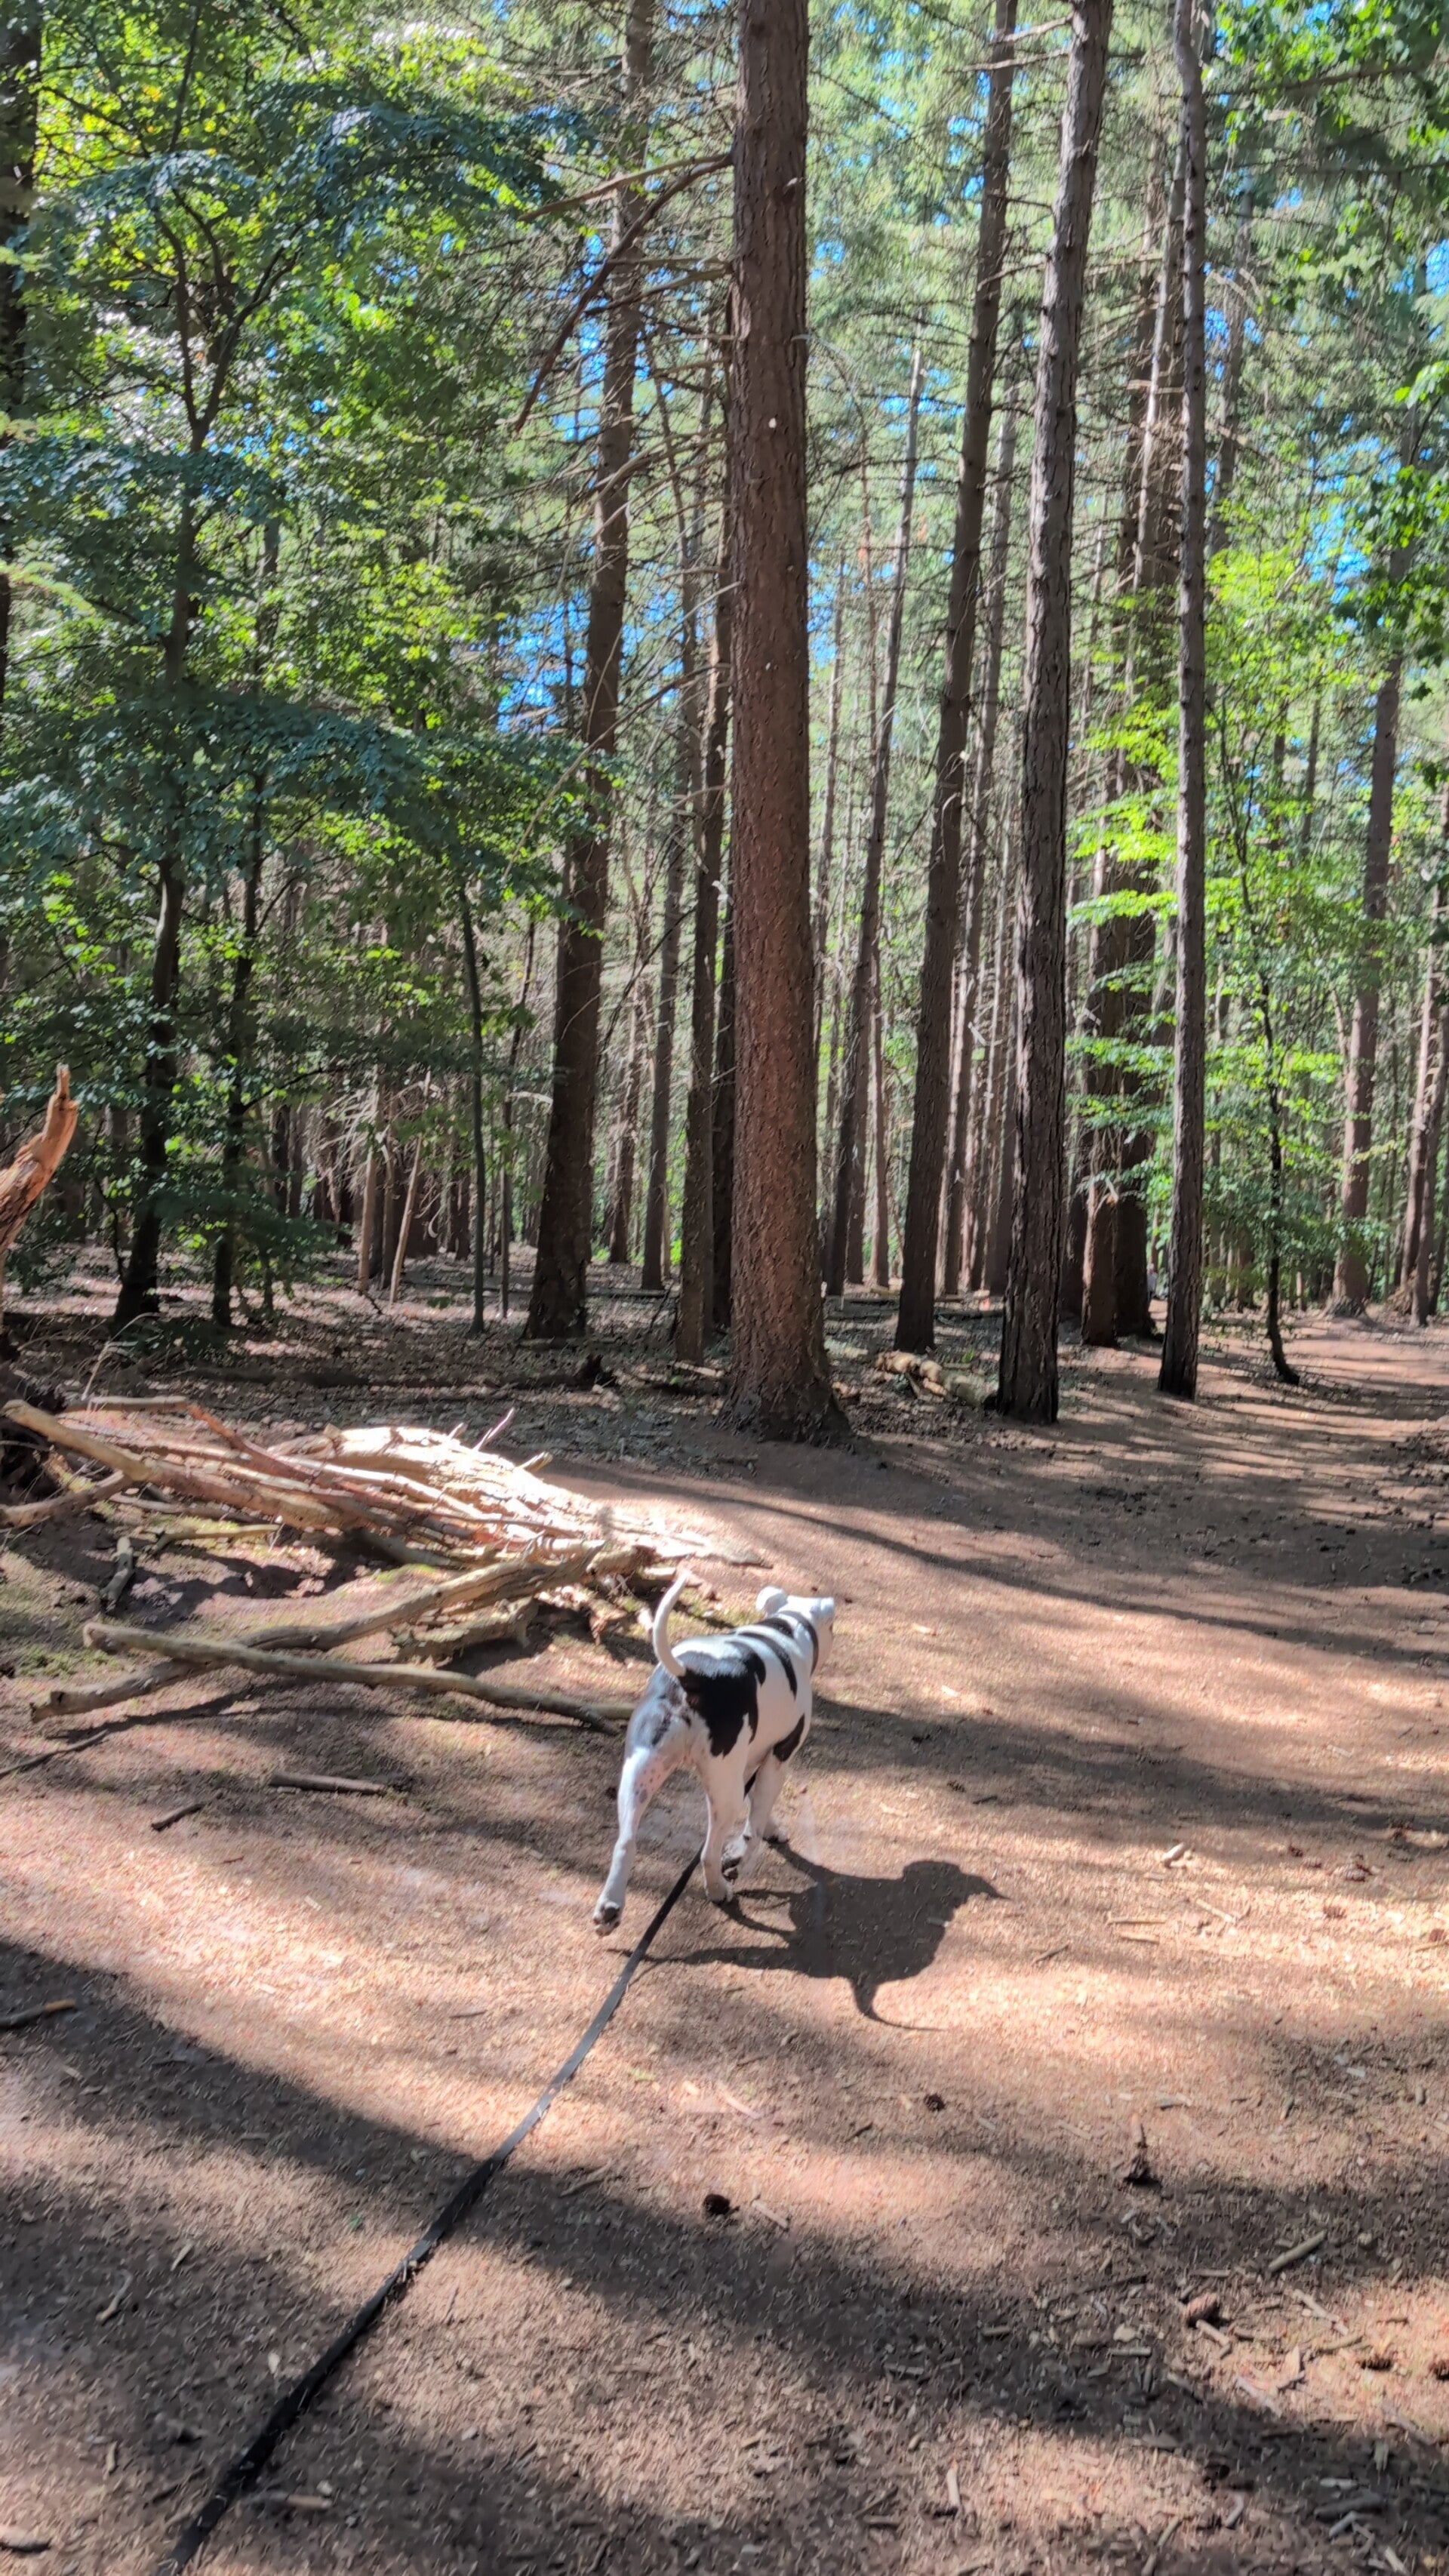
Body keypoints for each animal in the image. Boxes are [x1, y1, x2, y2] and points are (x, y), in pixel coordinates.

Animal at [593, 1571, 836, 1932]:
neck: (789, 1627)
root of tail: (694, 1676)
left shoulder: (752, 1762)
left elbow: (760, 1810)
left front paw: (772, 1829)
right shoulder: (778, 1760)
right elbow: (754, 1827)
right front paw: (742, 1859)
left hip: (639, 1776)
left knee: (625, 1842)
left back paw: (610, 1908)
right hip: (724, 1795)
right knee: (708, 1853)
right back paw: (719, 1889)